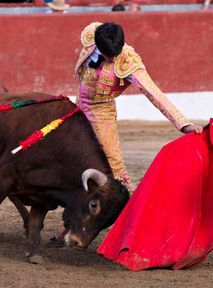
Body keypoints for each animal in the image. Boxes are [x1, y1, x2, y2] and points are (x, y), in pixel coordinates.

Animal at [0, 93, 129, 264]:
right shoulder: (4, 179)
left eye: (110, 220)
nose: (78, 243)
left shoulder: (43, 194)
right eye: (94, 205)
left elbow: (36, 223)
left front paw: (33, 255)